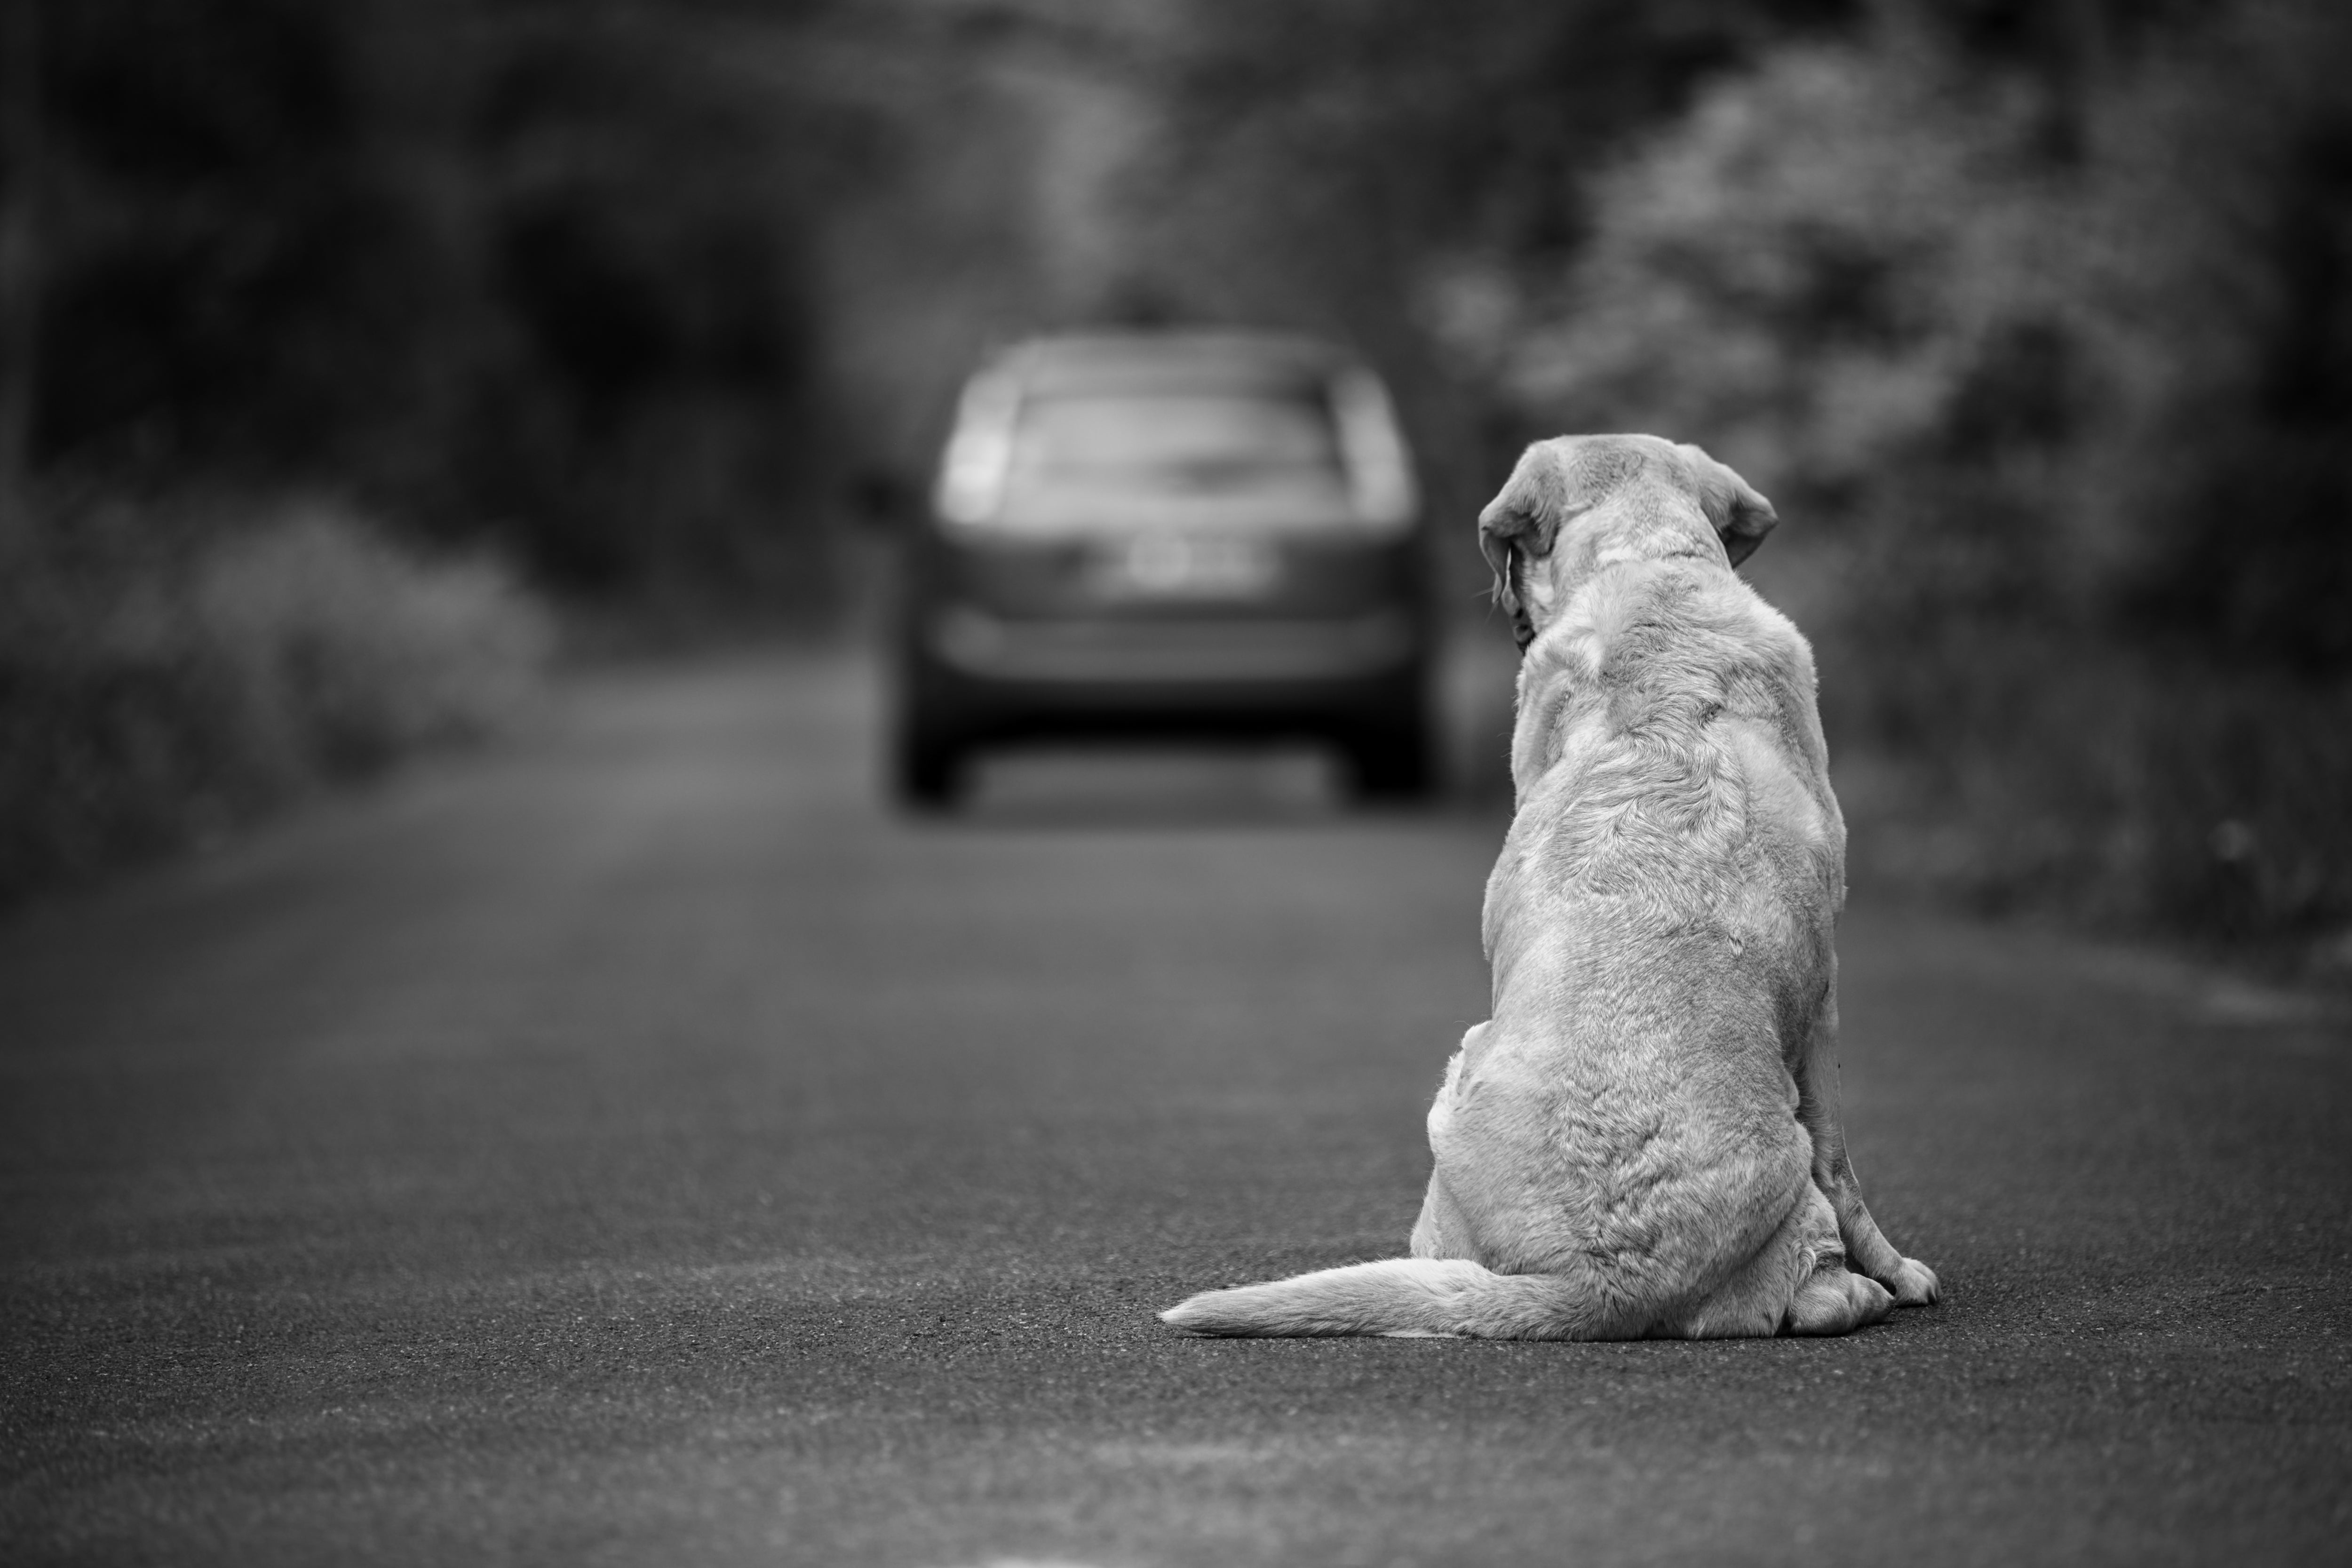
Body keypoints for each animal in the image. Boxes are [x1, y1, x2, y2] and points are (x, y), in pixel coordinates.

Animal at [1167, 439, 1938, 1335]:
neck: (1647, 564)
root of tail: (1606, 1281)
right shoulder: (1825, 996)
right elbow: (1843, 1162)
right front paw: (1898, 1271)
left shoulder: (1823, 998)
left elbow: (1842, 1162)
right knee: (1820, 1278)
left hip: (1456, 1078)